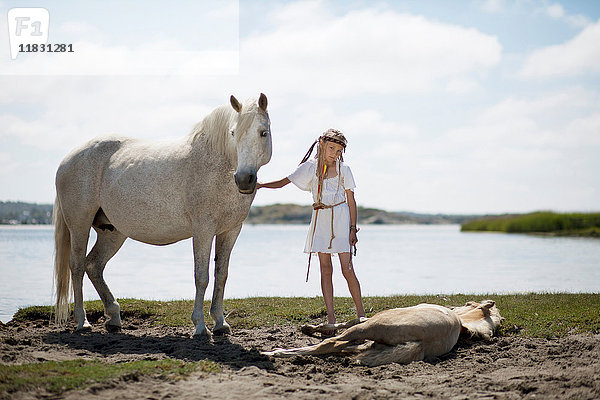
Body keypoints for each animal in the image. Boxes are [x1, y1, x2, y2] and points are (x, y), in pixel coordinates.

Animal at [53, 95, 270, 336]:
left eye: (263, 132)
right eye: (233, 133)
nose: (244, 179)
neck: (216, 164)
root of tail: (68, 159)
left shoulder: (230, 231)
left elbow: (221, 275)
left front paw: (220, 323)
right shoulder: (203, 230)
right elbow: (201, 276)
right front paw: (200, 326)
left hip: (112, 233)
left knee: (94, 265)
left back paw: (114, 317)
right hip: (79, 226)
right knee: (77, 266)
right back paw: (83, 322)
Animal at [262, 300, 502, 366]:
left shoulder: (366, 322)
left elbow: (348, 322)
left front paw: (311, 328)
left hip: (370, 327)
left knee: (330, 344)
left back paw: (275, 352)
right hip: (372, 341)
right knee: (339, 347)